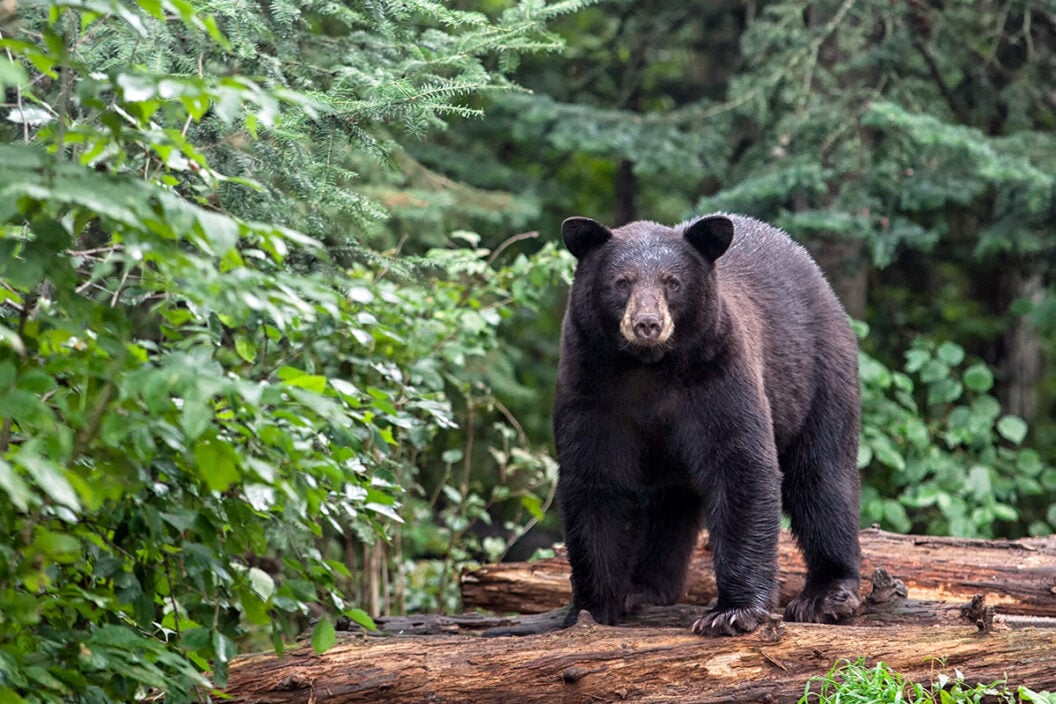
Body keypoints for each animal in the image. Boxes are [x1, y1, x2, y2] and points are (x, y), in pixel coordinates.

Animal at [553, 212, 857, 637]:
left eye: (672, 282)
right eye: (622, 281)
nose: (647, 323)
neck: (648, 368)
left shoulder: (717, 374)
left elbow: (741, 465)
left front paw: (733, 612)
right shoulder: (590, 386)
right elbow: (593, 480)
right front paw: (591, 609)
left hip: (818, 375)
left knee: (822, 476)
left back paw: (826, 594)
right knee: (666, 502)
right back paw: (644, 588)